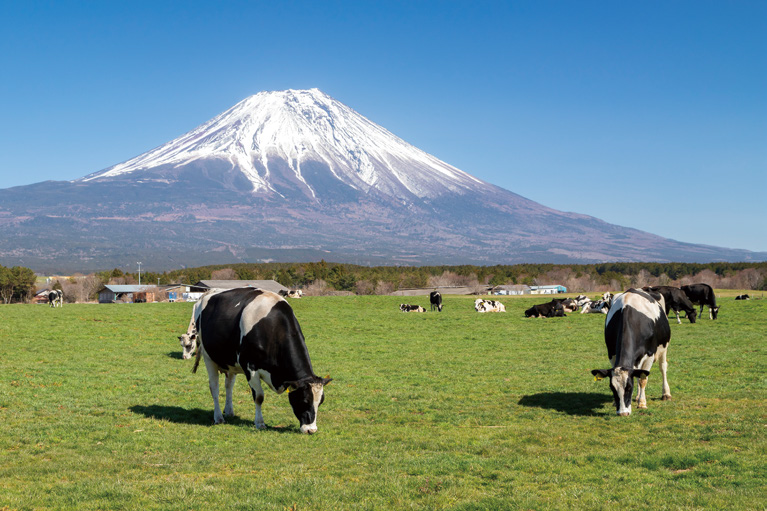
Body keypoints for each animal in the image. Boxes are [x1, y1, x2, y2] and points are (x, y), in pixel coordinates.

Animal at [192, 290, 330, 434]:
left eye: (320, 402)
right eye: (304, 400)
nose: (311, 430)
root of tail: (208, 293)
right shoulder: (250, 367)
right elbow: (259, 397)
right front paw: (260, 423)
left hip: (230, 363)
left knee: (228, 386)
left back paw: (229, 411)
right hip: (209, 358)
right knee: (214, 388)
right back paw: (218, 417)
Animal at [592, 288, 668, 416]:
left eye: (629, 387)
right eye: (612, 388)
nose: (622, 413)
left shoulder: (650, 354)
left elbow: (643, 379)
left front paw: (642, 403)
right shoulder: (612, 354)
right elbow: (638, 376)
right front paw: (616, 402)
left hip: (664, 347)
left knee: (663, 368)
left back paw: (666, 394)